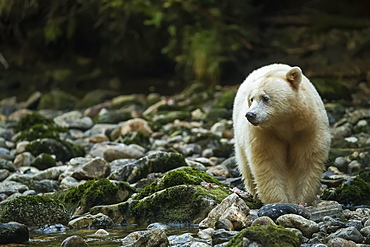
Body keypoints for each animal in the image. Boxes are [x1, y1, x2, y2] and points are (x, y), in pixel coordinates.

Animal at [233, 63, 330, 205]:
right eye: (251, 99)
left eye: (265, 98)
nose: (250, 115)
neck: (285, 122)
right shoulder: (265, 133)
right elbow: (269, 162)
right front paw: (278, 201)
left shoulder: (308, 128)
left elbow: (306, 160)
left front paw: (301, 200)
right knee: (245, 165)